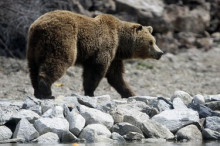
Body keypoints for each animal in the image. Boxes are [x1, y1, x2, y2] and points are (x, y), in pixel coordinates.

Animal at [27, 10, 163, 99]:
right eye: (151, 42)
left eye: (154, 41)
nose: (160, 52)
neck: (120, 42)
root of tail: (38, 25)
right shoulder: (103, 47)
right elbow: (96, 70)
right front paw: (90, 92)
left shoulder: (114, 57)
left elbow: (116, 76)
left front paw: (130, 93)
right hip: (62, 37)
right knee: (59, 60)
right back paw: (47, 91)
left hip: (34, 46)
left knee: (33, 67)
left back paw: (37, 91)